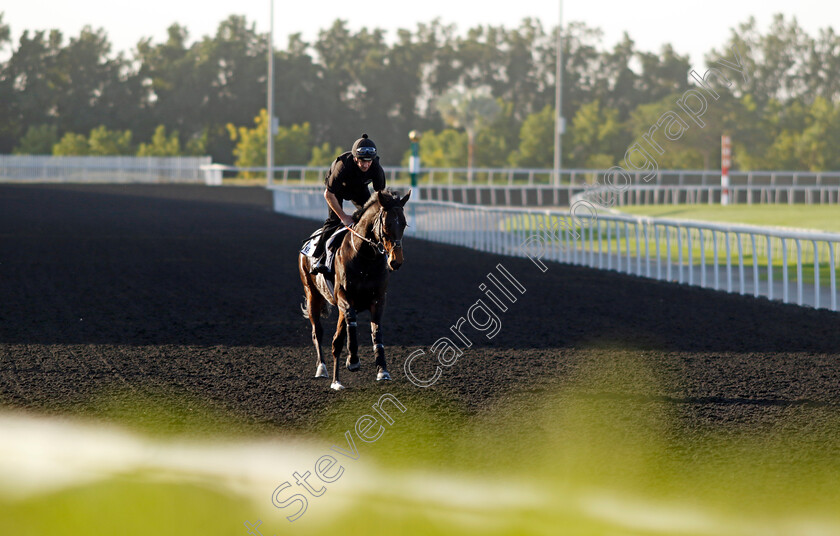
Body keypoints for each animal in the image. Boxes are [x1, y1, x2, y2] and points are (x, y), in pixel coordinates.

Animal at [298, 188, 410, 390]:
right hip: (311, 294)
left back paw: (336, 378)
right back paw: (324, 370)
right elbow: (350, 322)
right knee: (318, 332)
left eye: (404, 224)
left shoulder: (378, 299)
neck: (365, 258)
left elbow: (376, 331)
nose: (396, 261)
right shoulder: (344, 297)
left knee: (337, 339)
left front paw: (382, 370)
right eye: (387, 223)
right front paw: (353, 361)